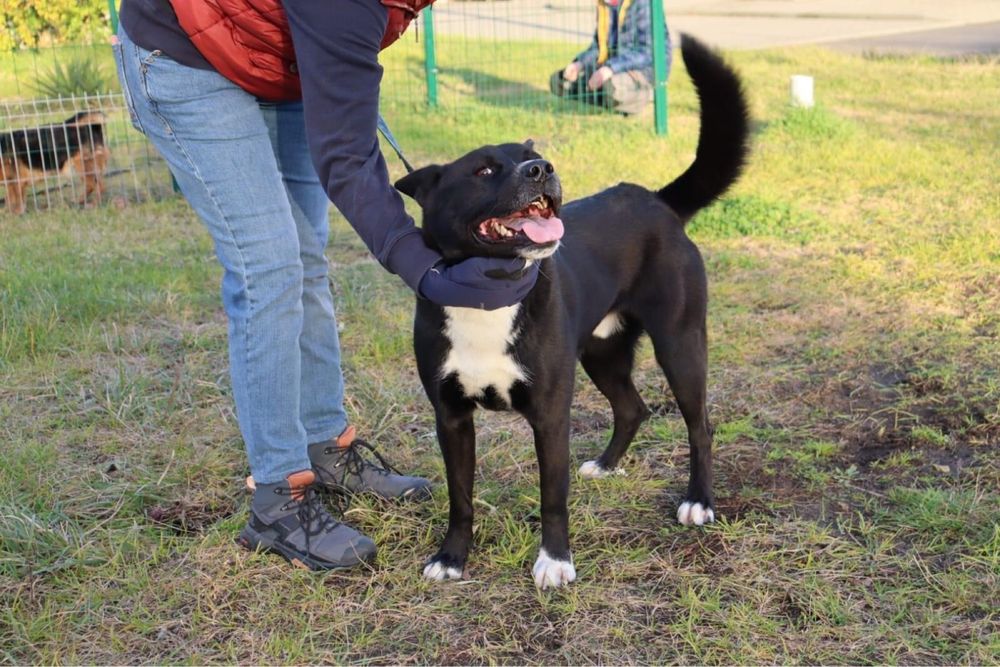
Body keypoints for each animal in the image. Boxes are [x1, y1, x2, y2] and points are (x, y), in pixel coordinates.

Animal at [394, 36, 748, 588]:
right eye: (484, 170)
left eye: (533, 157)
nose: (542, 170)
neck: (488, 293)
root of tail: (657, 201)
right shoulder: (450, 416)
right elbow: (460, 497)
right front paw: (451, 557)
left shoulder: (550, 413)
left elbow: (553, 497)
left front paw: (555, 561)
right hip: (602, 353)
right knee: (633, 407)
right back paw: (605, 465)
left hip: (681, 343)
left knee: (700, 425)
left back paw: (698, 501)